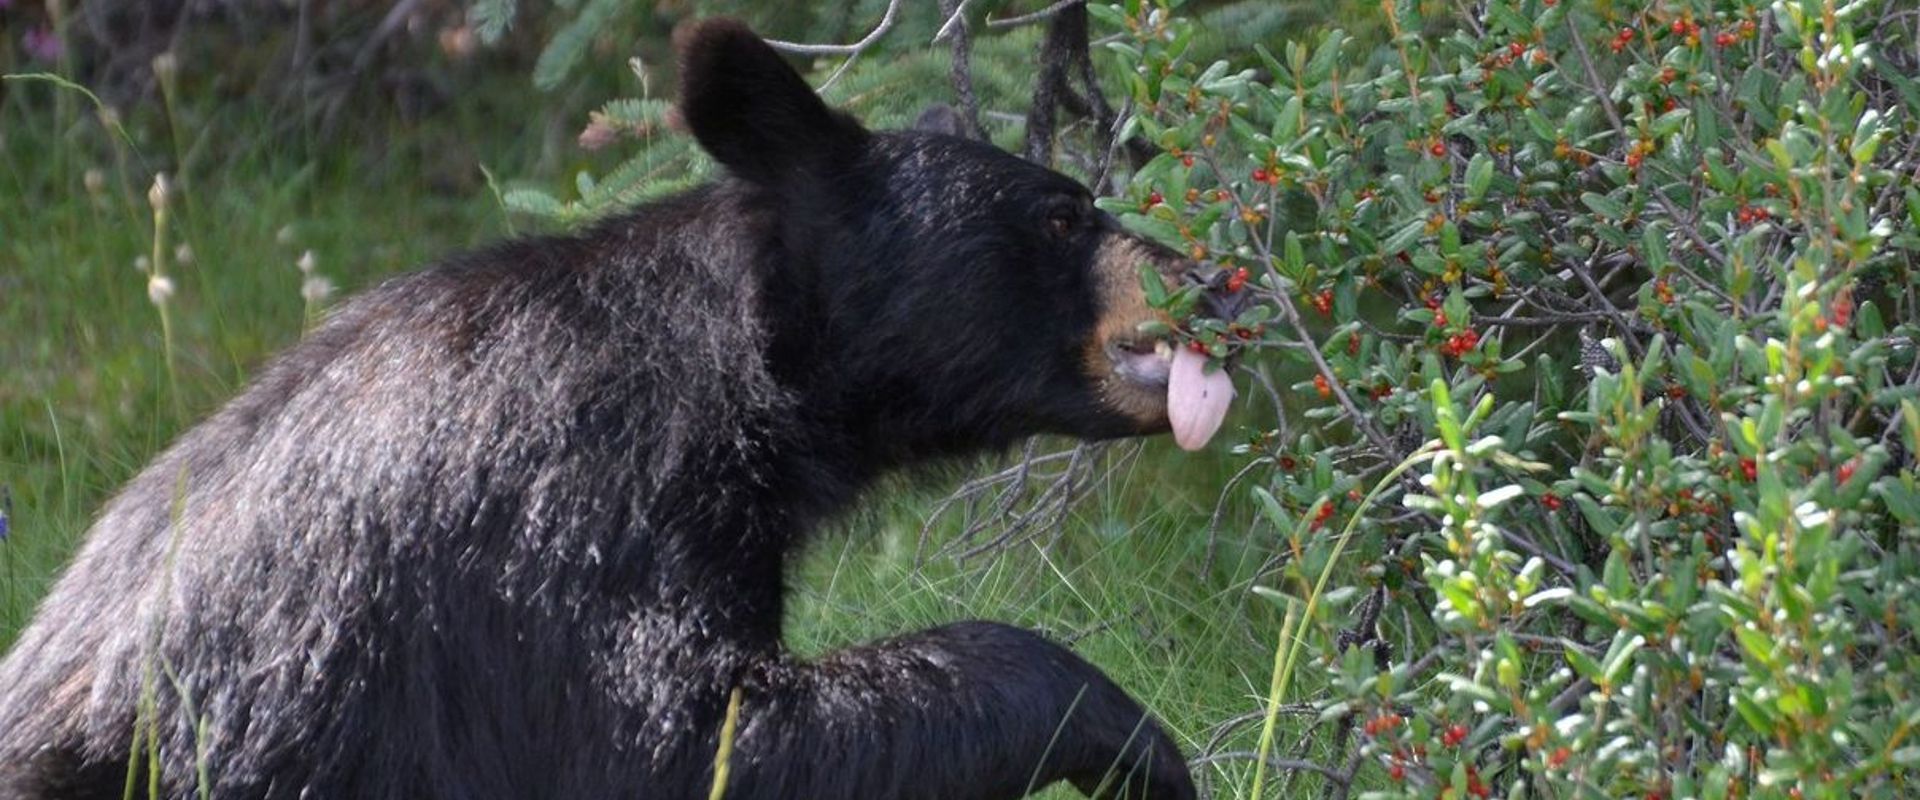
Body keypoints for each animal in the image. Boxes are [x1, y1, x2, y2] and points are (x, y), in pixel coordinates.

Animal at [0, 19, 1235, 800]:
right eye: (1066, 213)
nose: (1221, 283)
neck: (739, 380)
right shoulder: (585, 508)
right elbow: (676, 734)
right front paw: (1132, 738)